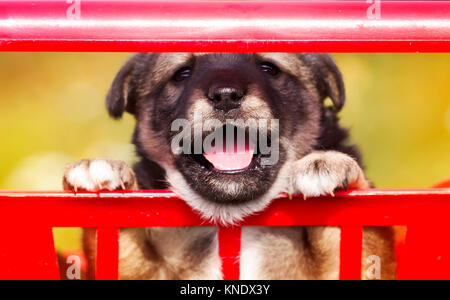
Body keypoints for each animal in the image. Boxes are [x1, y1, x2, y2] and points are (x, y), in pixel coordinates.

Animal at [62, 52, 394, 280]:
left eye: (269, 68)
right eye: (182, 73)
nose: (225, 96)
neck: (234, 219)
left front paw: (327, 163)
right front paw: (99, 168)